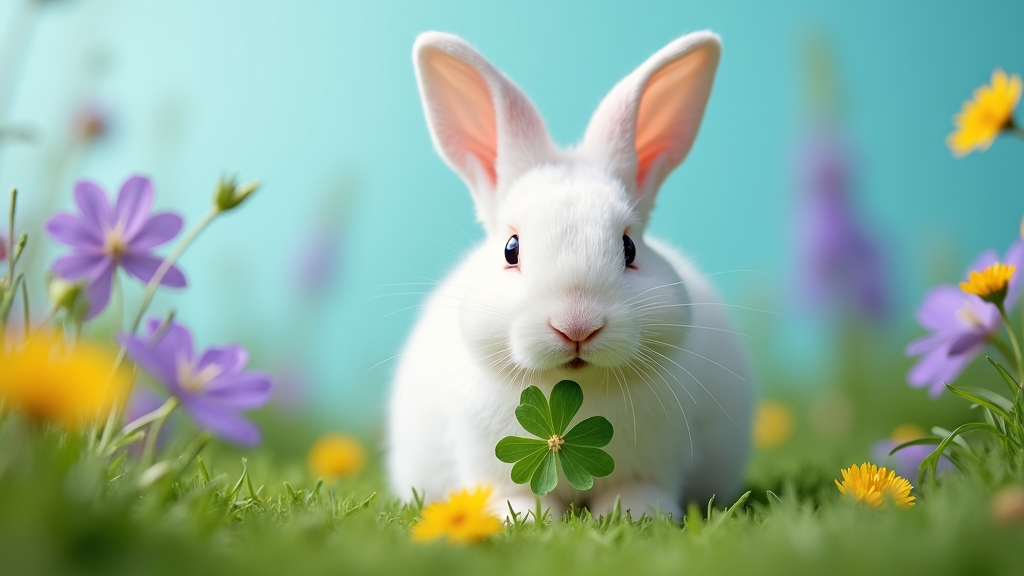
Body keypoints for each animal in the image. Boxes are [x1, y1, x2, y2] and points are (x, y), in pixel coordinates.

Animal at [387, 29, 757, 518]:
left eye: (629, 247)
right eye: (511, 249)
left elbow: (639, 490)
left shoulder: (655, 464)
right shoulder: (485, 463)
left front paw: (638, 516)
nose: (576, 325)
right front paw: (520, 519)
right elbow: (512, 494)